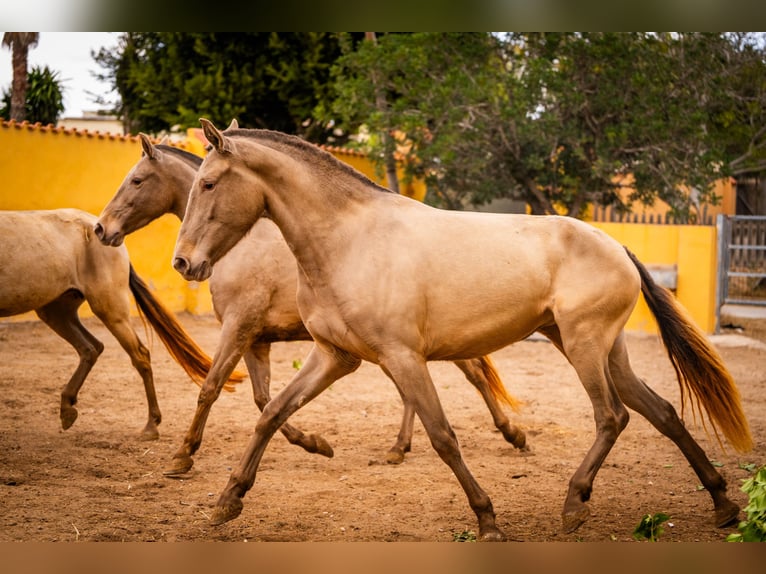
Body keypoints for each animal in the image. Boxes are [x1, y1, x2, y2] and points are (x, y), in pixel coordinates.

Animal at [0, 209, 242, 438]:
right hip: (56, 310)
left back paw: (151, 424)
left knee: (138, 354)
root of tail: (100, 227)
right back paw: (68, 408)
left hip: (109, 307)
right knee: (90, 348)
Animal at [93, 134, 532, 476]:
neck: (243, 245)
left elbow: (212, 388)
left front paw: (183, 455)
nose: (101, 228)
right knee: (420, 389)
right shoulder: (257, 339)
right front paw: (313, 442)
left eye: (136, 180)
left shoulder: (238, 326)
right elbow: (264, 401)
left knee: (474, 373)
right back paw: (400, 447)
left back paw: (513, 435)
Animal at [171, 119, 752, 544]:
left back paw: (574, 504)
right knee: (662, 412)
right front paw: (227, 501)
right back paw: (723, 504)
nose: (183, 263)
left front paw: (487, 520)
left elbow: (443, 437)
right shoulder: (334, 357)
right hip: (602, 350)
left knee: (613, 416)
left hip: (585, 346)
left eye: (209, 183)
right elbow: (271, 414)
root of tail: (616, 246)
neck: (348, 241)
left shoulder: (402, 358)